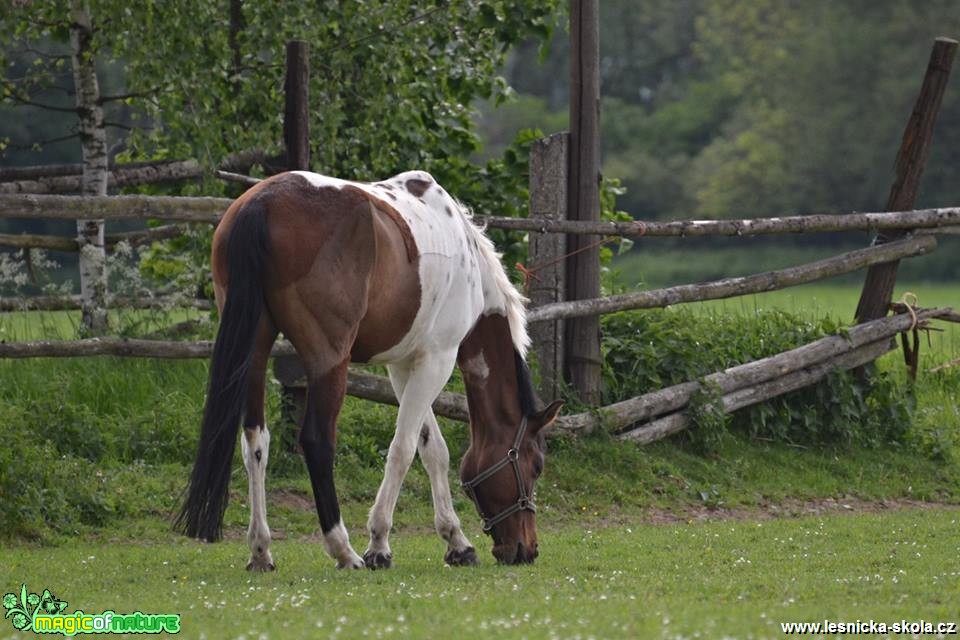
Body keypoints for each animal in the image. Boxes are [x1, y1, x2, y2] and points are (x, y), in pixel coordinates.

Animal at [176, 171, 564, 568]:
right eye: (536, 465)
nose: (526, 549)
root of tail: (262, 202)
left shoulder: (404, 365)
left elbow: (432, 449)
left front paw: (456, 541)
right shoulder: (436, 360)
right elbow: (403, 449)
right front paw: (378, 543)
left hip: (254, 353)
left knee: (256, 442)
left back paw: (260, 549)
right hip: (330, 360)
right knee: (317, 441)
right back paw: (343, 549)